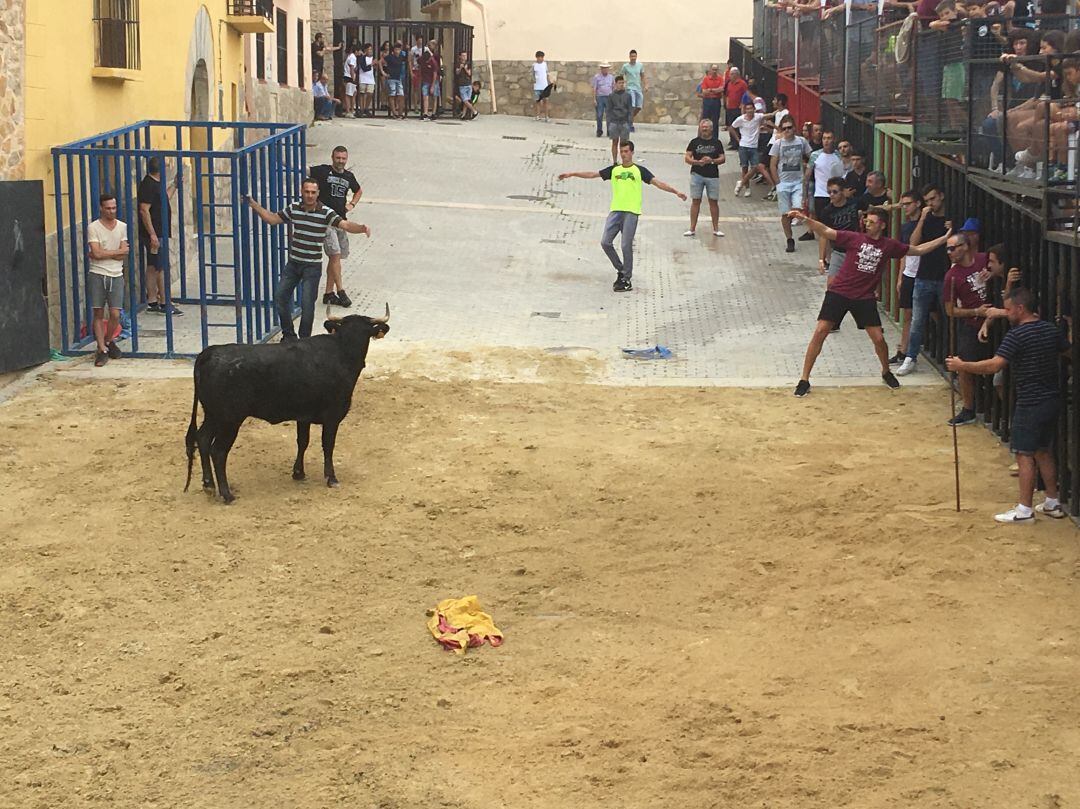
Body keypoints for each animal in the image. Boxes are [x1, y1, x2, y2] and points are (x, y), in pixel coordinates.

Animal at [184, 306, 388, 501]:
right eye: (345, 332)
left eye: (365, 332)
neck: (341, 353)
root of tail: (210, 352)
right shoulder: (332, 416)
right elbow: (328, 445)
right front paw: (331, 478)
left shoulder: (304, 416)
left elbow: (302, 441)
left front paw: (298, 473)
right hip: (229, 420)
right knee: (218, 451)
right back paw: (226, 494)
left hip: (213, 414)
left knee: (202, 439)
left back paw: (209, 486)